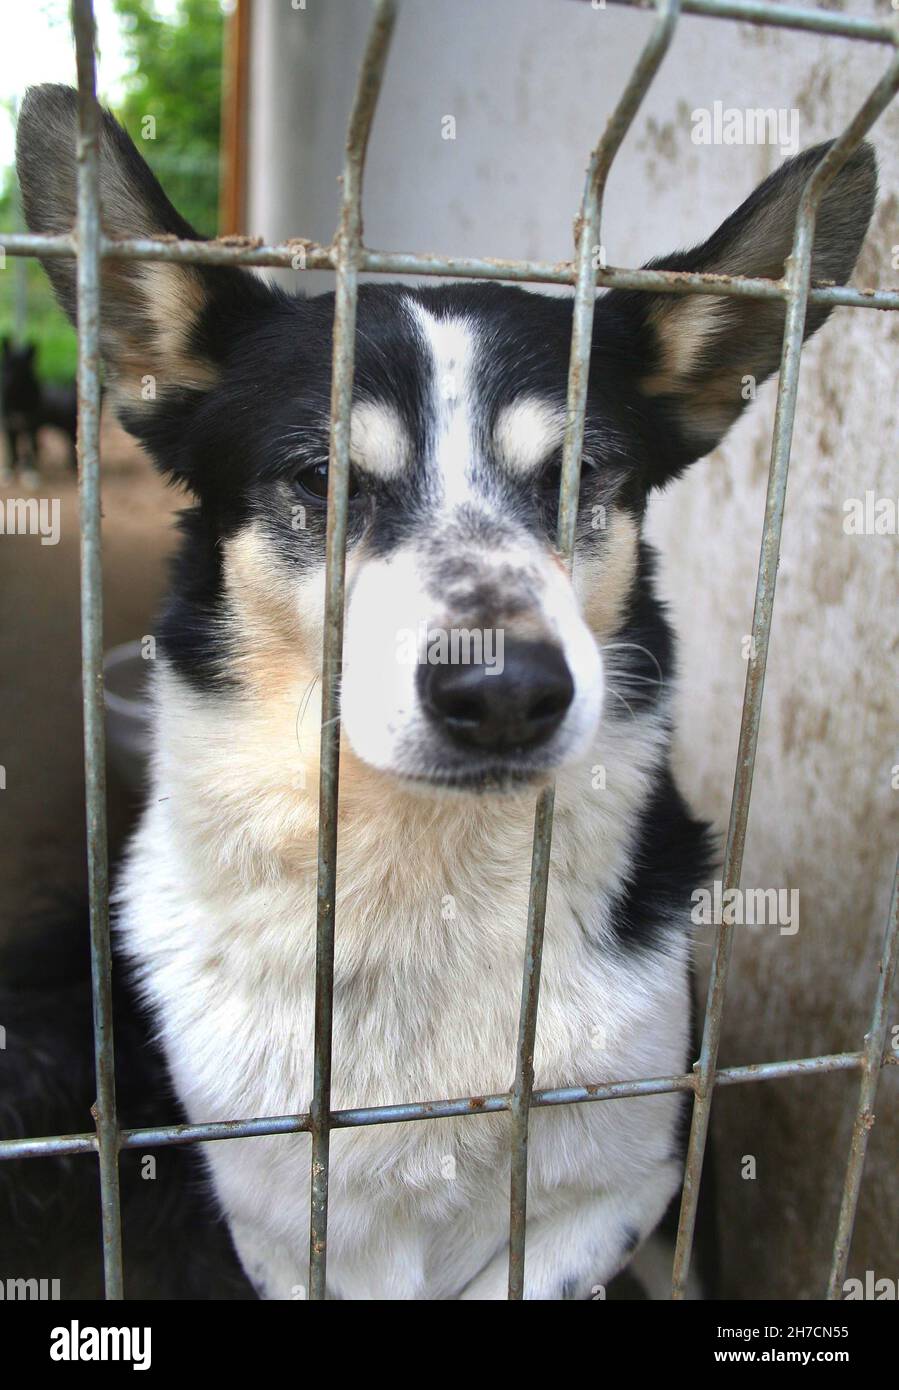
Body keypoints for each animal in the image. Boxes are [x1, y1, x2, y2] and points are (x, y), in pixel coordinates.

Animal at [0, 337, 77, 486]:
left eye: (20, 370)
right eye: (6, 367)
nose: (6, 382)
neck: (16, 400)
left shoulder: (31, 427)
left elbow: (30, 451)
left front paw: (30, 474)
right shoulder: (9, 426)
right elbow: (11, 451)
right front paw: (9, 471)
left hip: (67, 426)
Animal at [12, 84, 872, 1301]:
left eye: (579, 474)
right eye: (321, 478)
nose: (506, 693)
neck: (425, 874)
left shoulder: (622, 1187)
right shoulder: (283, 1229)